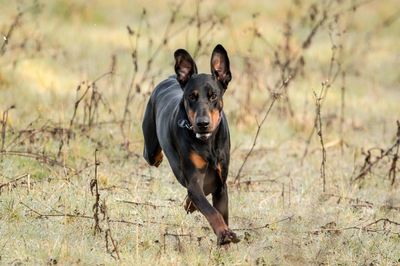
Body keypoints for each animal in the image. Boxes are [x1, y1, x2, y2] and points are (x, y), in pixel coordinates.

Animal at [142, 44, 239, 245]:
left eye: (213, 96)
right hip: (150, 148)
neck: (207, 142)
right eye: (191, 97)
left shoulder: (221, 185)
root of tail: (171, 77)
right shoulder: (193, 180)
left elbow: (219, 212)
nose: (202, 123)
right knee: (153, 156)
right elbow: (210, 210)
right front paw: (224, 233)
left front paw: (224, 238)